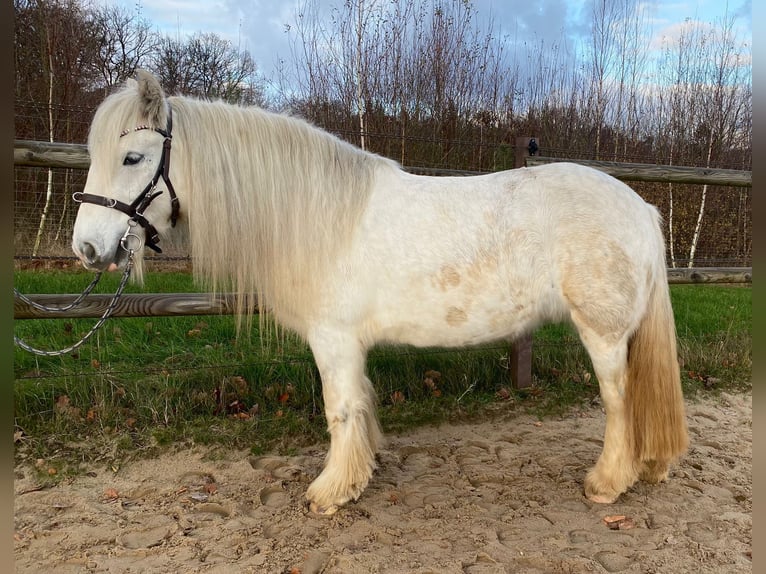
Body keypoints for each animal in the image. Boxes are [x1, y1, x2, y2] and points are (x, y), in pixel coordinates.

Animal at [73, 70, 688, 516]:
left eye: (132, 157)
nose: (86, 247)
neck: (317, 214)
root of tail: (640, 207)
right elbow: (359, 405)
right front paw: (359, 473)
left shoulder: (333, 339)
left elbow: (340, 409)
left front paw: (331, 492)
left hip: (603, 331)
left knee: (619, 401)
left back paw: (607, 483)